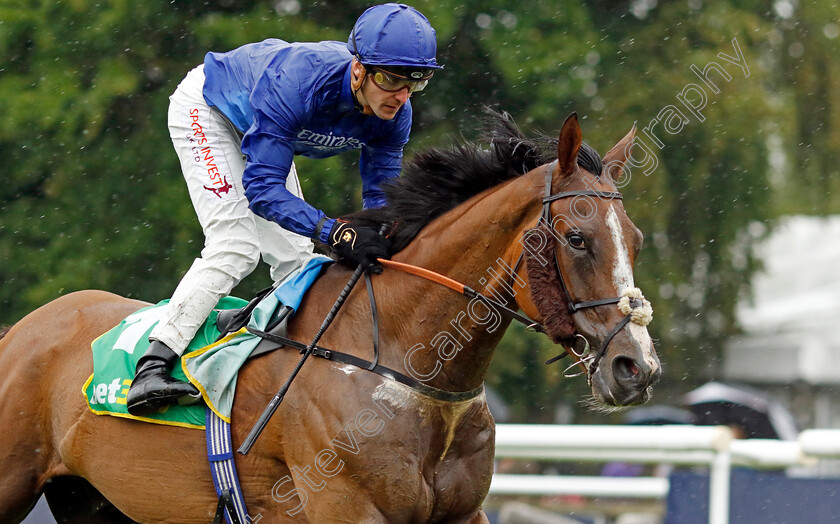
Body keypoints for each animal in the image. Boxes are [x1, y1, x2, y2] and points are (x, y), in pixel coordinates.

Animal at [0, 109, 664, 520]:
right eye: (577, 239)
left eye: (635, 239)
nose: (637, 367)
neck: (403, 361)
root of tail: (23, 328)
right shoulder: (346, 506)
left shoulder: (463, 513)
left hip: (92, 500)